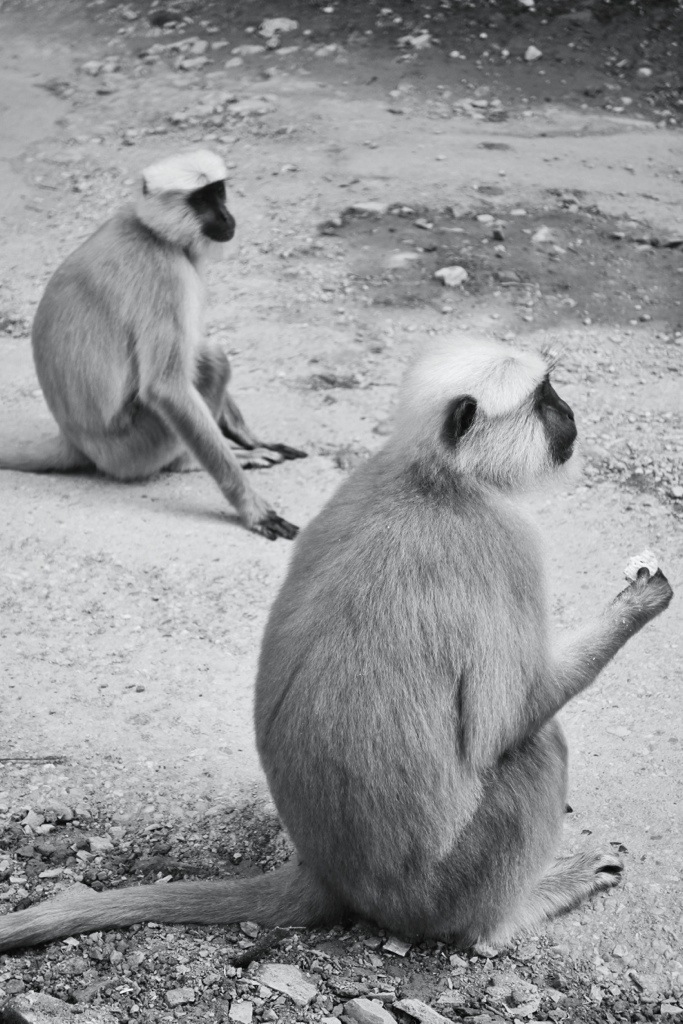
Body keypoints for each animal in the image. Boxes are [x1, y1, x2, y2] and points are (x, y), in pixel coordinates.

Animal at [0, 150, 305, 541]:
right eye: (201, 201)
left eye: (219, 193)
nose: (225, 216)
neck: (151, 231)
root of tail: (75, 441)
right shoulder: (165, 272)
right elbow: (166, 386)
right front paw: (253, 509)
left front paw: (250, 440)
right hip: (134, 449)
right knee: (213, 361)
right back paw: (187, 463)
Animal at [0, 337, 673, 954]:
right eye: (544, 398)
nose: (570, 413)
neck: (435, 478)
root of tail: (326, 873)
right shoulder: (505, 542)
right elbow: (501, 726)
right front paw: (639, 603)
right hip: (445, 887)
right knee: (536, 748)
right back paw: (508, 917)